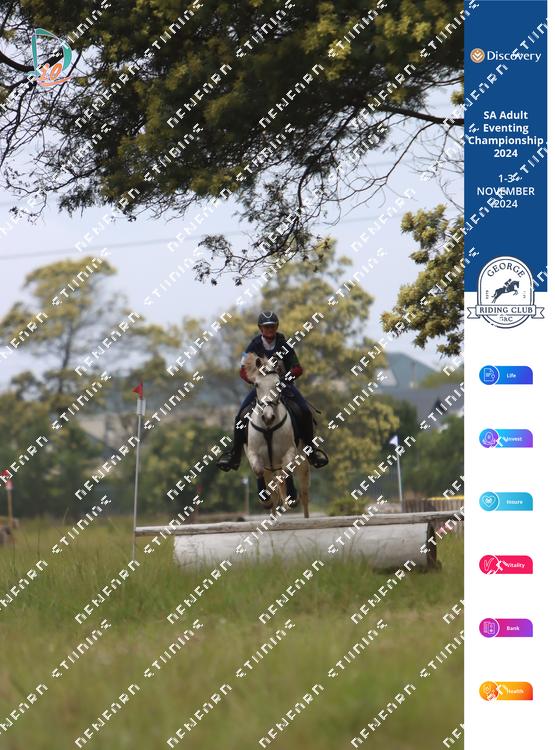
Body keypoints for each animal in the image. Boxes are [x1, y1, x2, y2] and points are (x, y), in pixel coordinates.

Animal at [242, 353, 310, 518]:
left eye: (278, 384)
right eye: (256, 385)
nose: (268, 417)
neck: (268, 428)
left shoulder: (289, 451)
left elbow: (287, 470)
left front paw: (292, 498)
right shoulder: (253, 453)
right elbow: (258, 471)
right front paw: (265, 500)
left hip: (303, 463)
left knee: (304, 493)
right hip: (269, 469)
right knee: (273, 493)